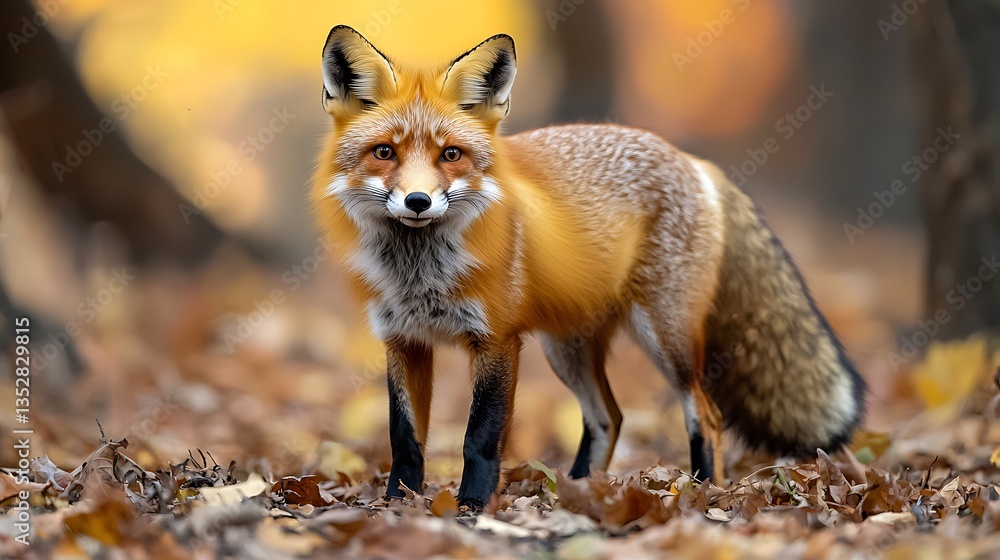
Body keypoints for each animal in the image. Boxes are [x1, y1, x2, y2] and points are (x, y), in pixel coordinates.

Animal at [311, 26, 866, 510]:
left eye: (451, 155)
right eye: (385, 152)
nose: (418, 201)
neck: (421, 275)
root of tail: (692, 161)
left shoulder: (497, 341)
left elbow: (479, 438)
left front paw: (472, 506)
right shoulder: (404, 341)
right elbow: (404, 439)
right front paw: (396, 504)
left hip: (665, 340)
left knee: (705, 415)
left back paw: (702, 491)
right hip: (567, 350)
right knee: (609, 418)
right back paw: (577, 490)